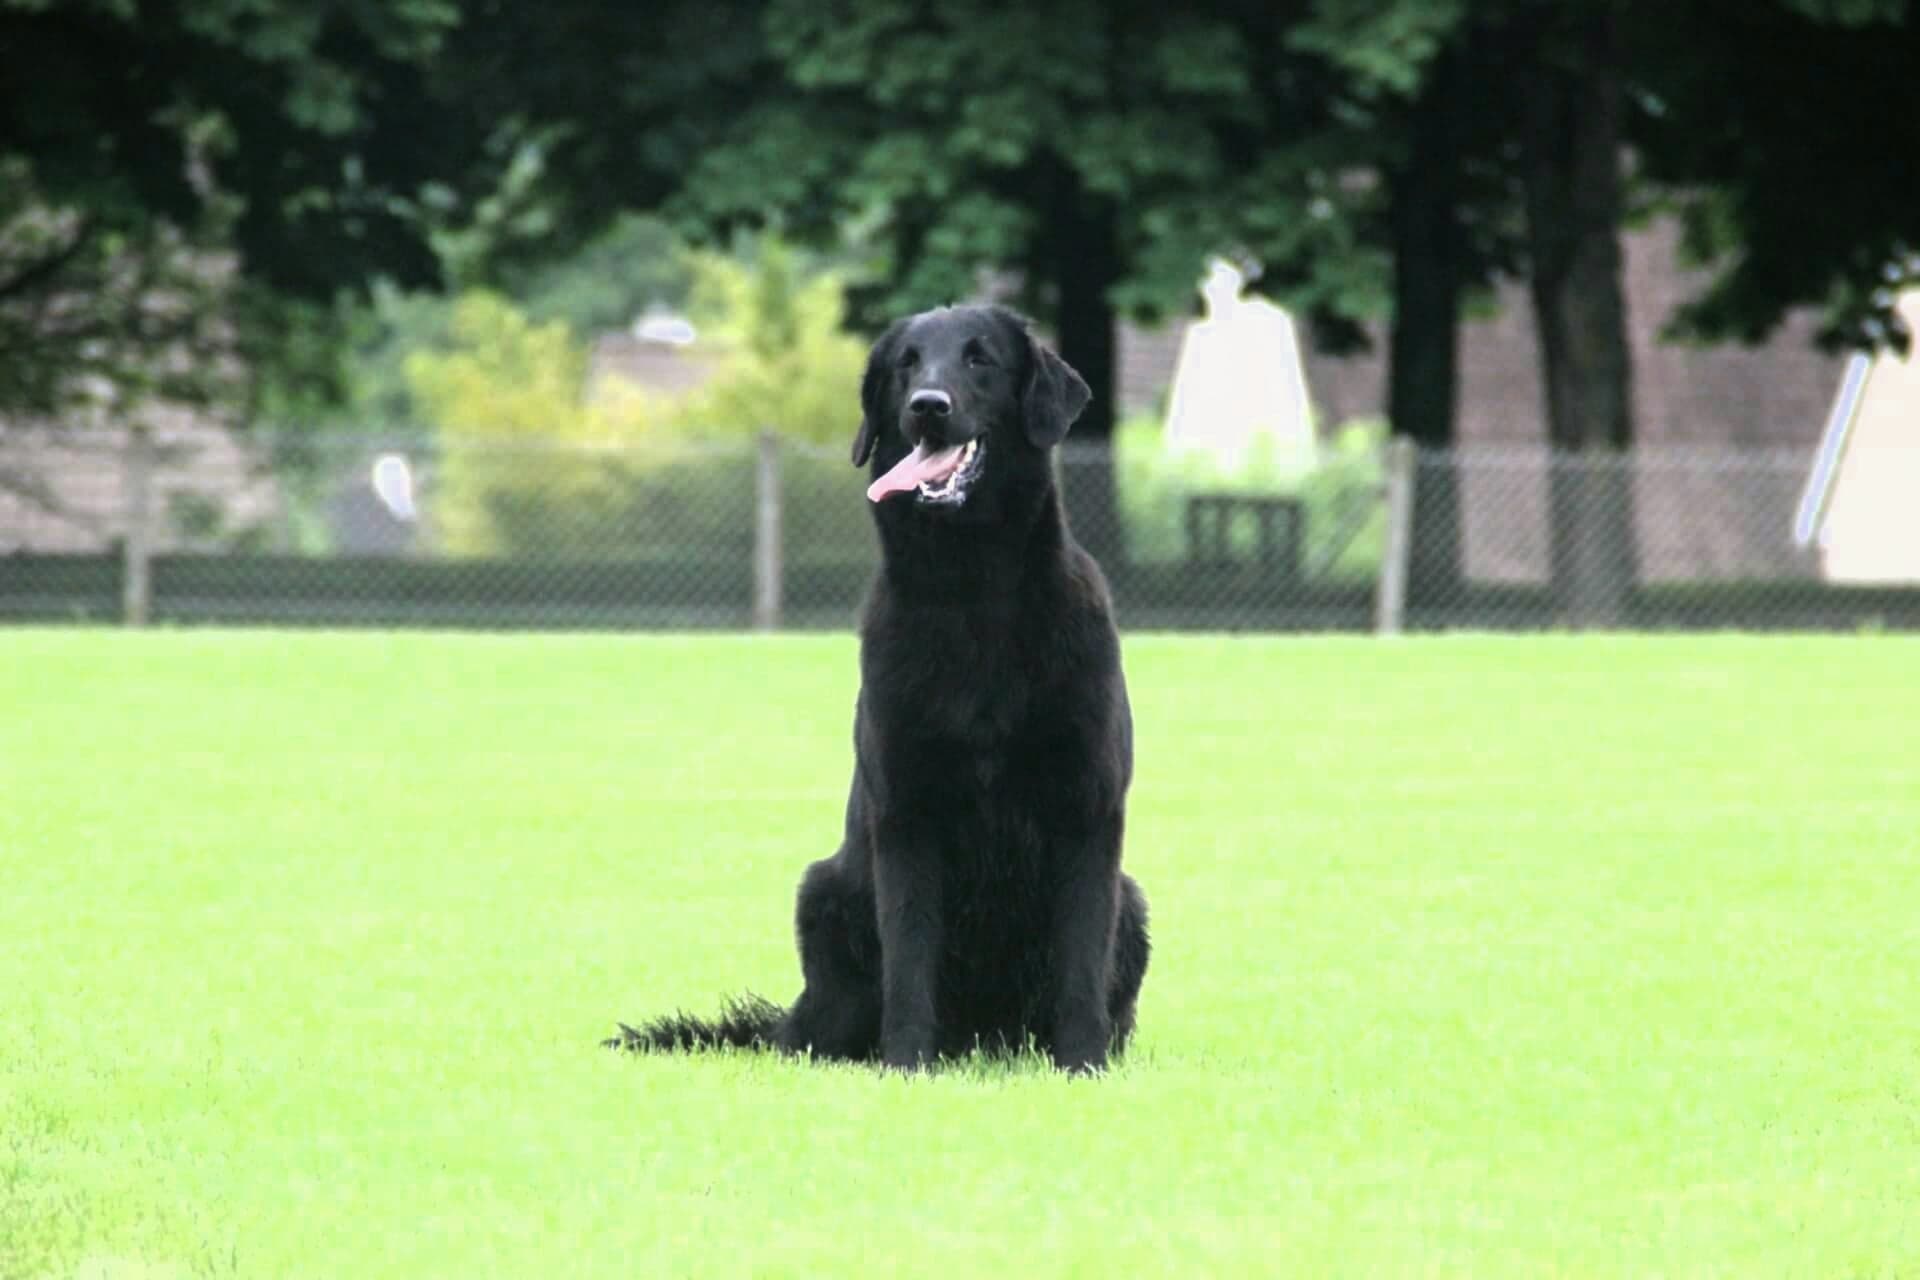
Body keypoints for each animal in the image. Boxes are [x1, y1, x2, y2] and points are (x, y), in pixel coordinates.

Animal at [614, 303, 1144, 1074]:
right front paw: (908, 1063)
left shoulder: (1087, 809)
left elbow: (1079, 960)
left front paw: (1082, 1064)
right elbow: (911, 953)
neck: (970, 597)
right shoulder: (906, 815)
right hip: (824, 895)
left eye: (980, 359)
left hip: (1132, 902)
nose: (928, 406)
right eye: (906, 365)